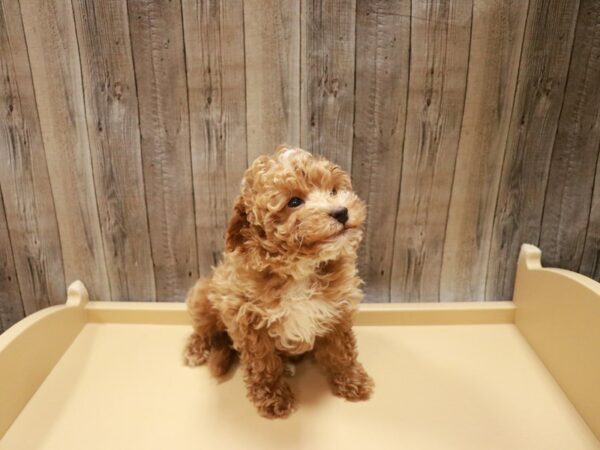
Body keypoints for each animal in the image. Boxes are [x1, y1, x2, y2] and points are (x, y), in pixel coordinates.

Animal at [183, 146, 372, 416]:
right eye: (294, 202)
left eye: (334, 190)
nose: (342, 212)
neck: (300, 269)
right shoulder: (246, 319)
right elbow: (263, 363)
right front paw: (273, 398)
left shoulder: (337, 309)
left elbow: (341, 351)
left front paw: (352, 381)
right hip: (204, 292)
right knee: (203, 328)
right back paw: (195, 349)